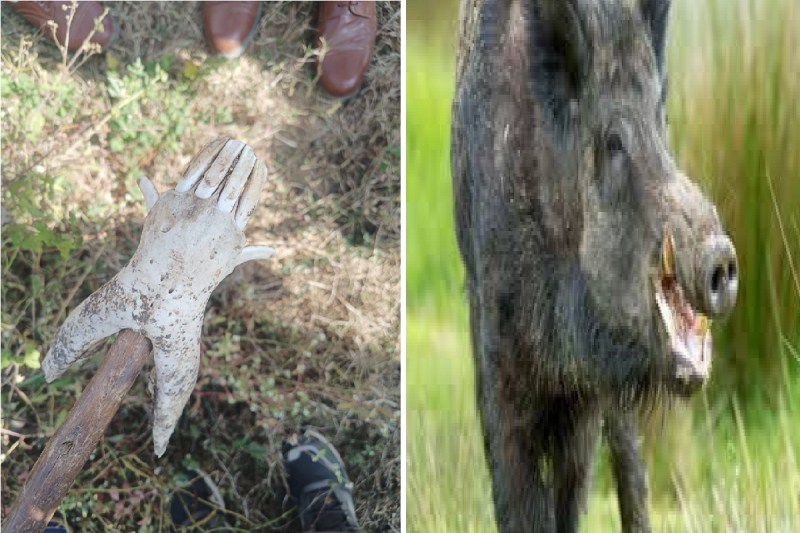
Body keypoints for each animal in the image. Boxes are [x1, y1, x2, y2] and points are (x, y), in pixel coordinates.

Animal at [450, 0, 738, 531]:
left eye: (662, 120)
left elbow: (576, 489)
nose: (720, 257)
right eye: (613, 141)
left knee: (629, 465)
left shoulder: (587, 397)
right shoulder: (497, 360)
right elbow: (518, 500)